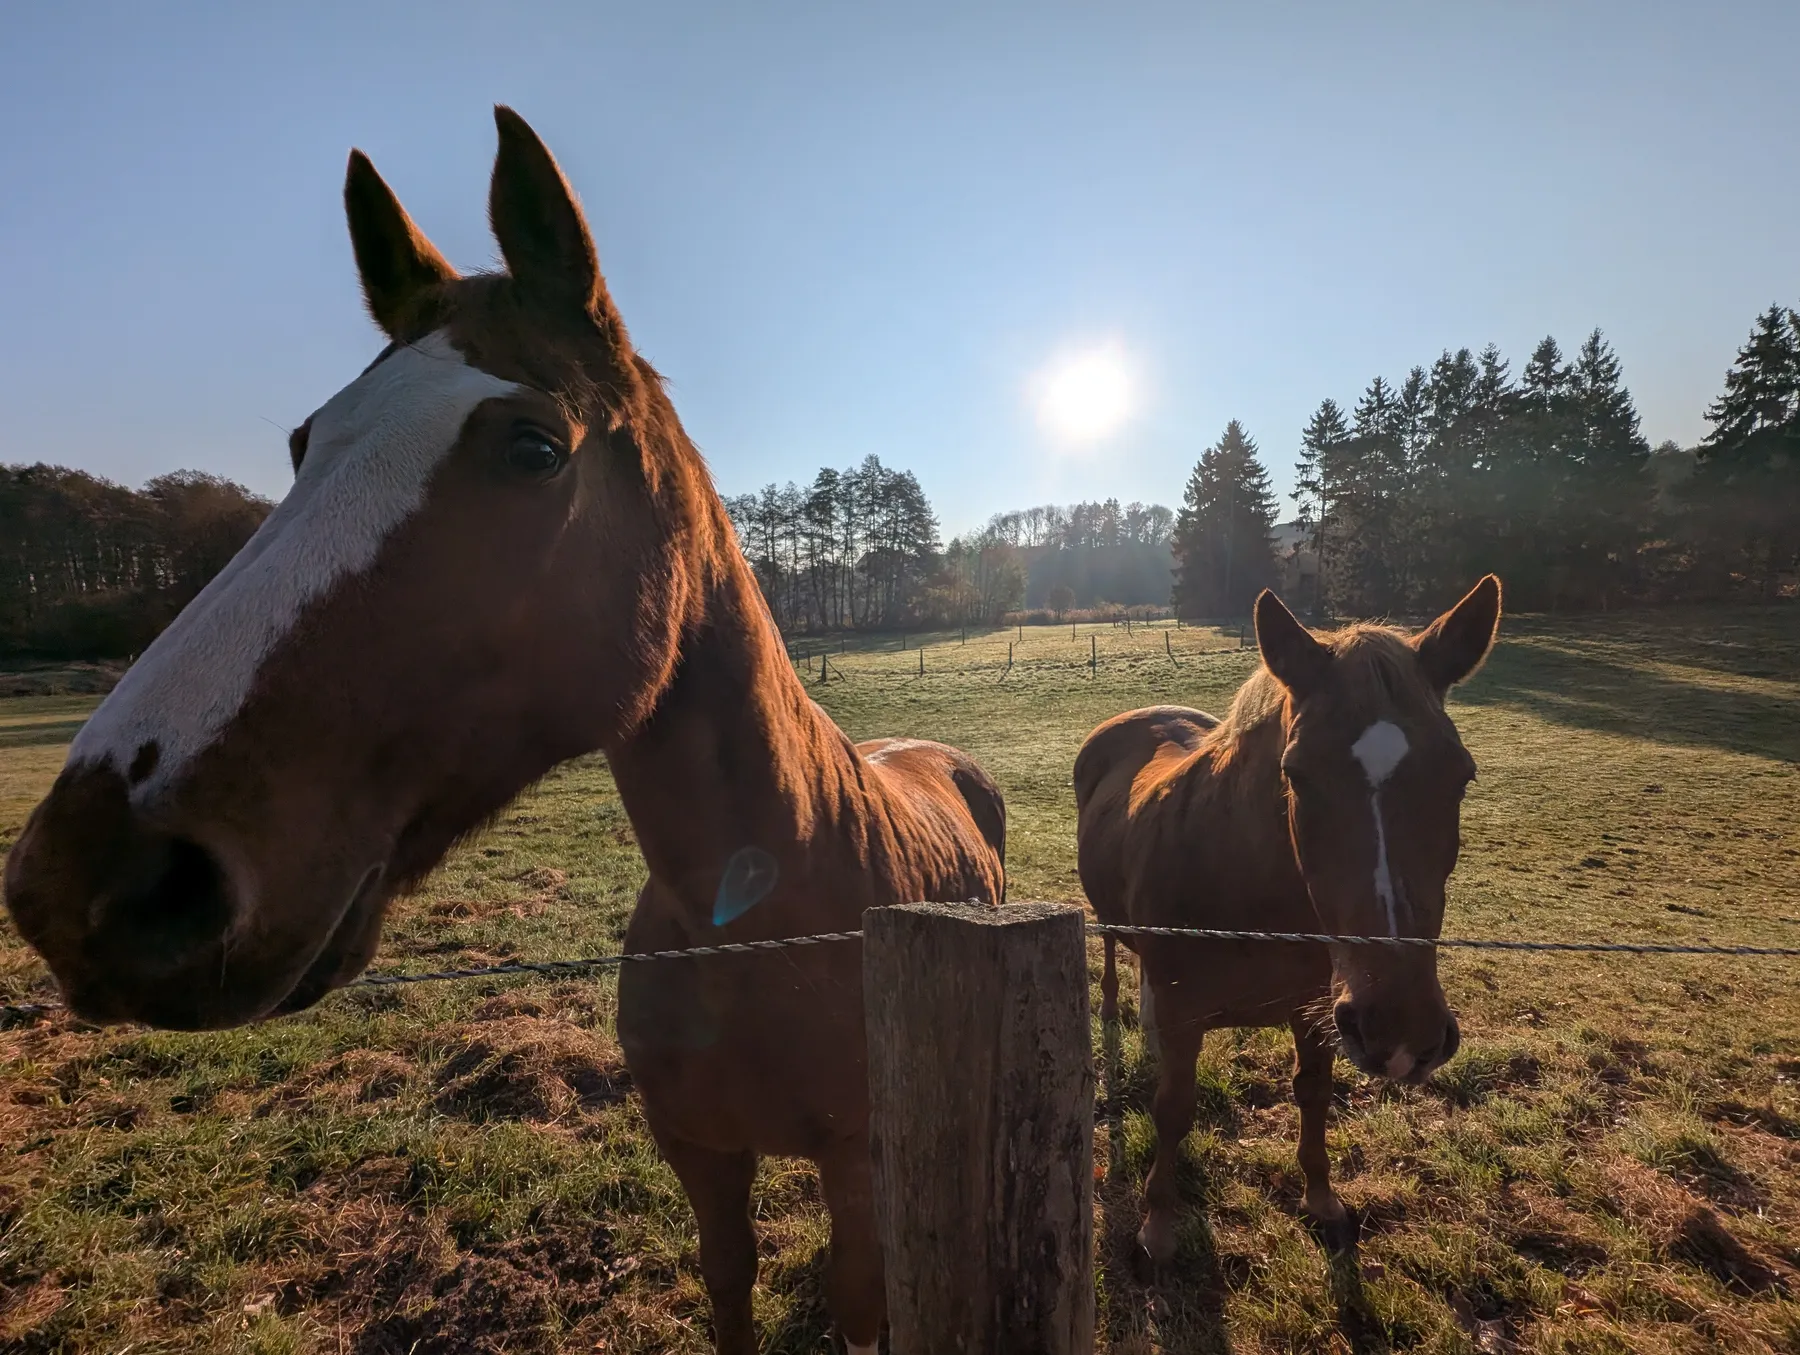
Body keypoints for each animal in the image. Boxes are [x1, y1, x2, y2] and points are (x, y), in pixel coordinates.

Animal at [1, 108, 1006, 1355]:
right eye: (304, 443)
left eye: (533, 445)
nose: (89, 876)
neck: (774, 912)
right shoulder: (700, 1156)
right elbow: (729, 1283)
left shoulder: (858, 1166)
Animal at [1075, 577, 1501, 1261]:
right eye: (1297, 775)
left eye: (1461, 776)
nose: (1401, 1032)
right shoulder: (1184, 1013)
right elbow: (1174, 1107)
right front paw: (1159, 1221)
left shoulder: (1317, 1012)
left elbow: (1314, 1093)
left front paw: (1320, 1197)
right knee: (1116, 953)